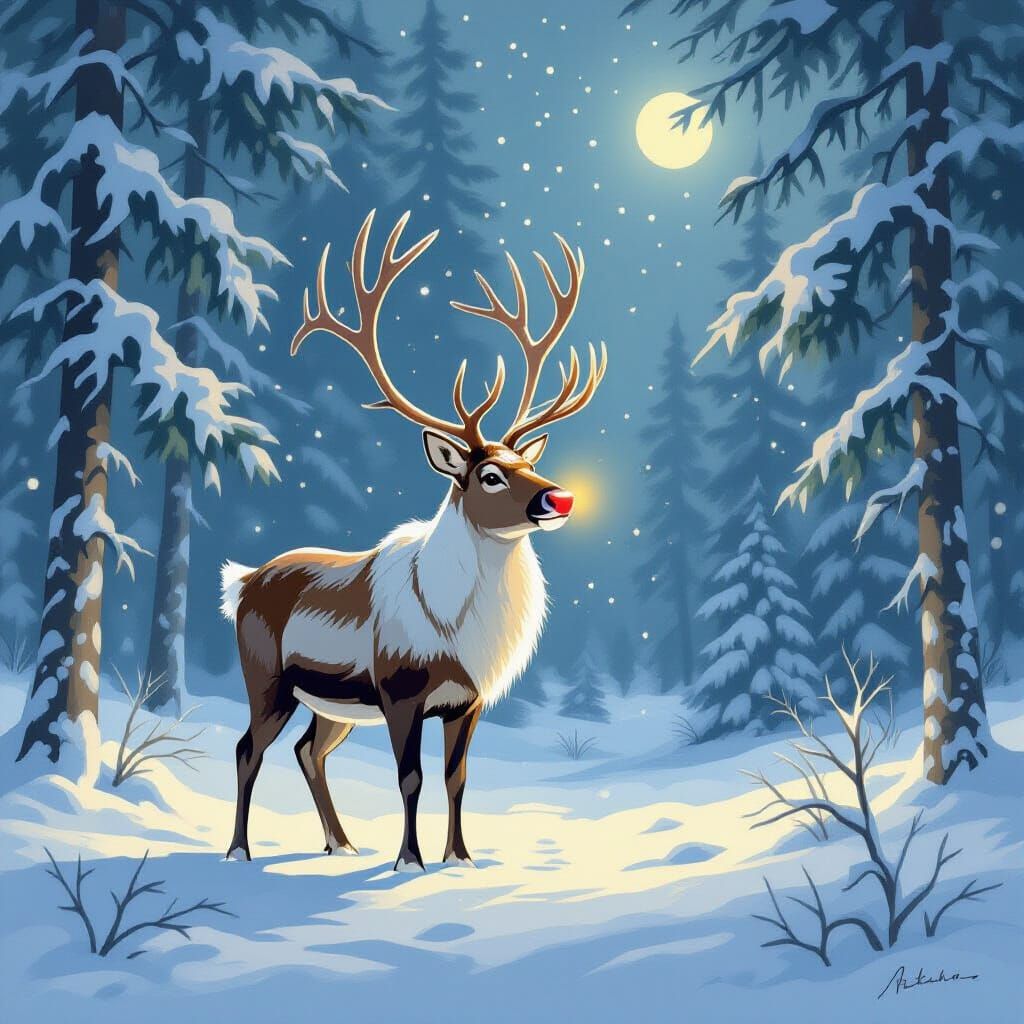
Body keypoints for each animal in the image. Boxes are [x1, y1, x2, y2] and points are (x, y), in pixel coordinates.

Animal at [219, 209, 605, 872]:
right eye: (489, 474)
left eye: (525, 463)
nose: (559, 498)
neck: (458, 628)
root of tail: (241, 582)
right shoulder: (400, 691)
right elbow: (410, 778)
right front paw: (410, 860)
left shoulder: (467, 702)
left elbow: (457, 779)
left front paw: (461, 858)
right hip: (267, 678)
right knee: (251, 748)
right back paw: (239, 850)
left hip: (331, 705)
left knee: (308, 751)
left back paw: (341, 844)